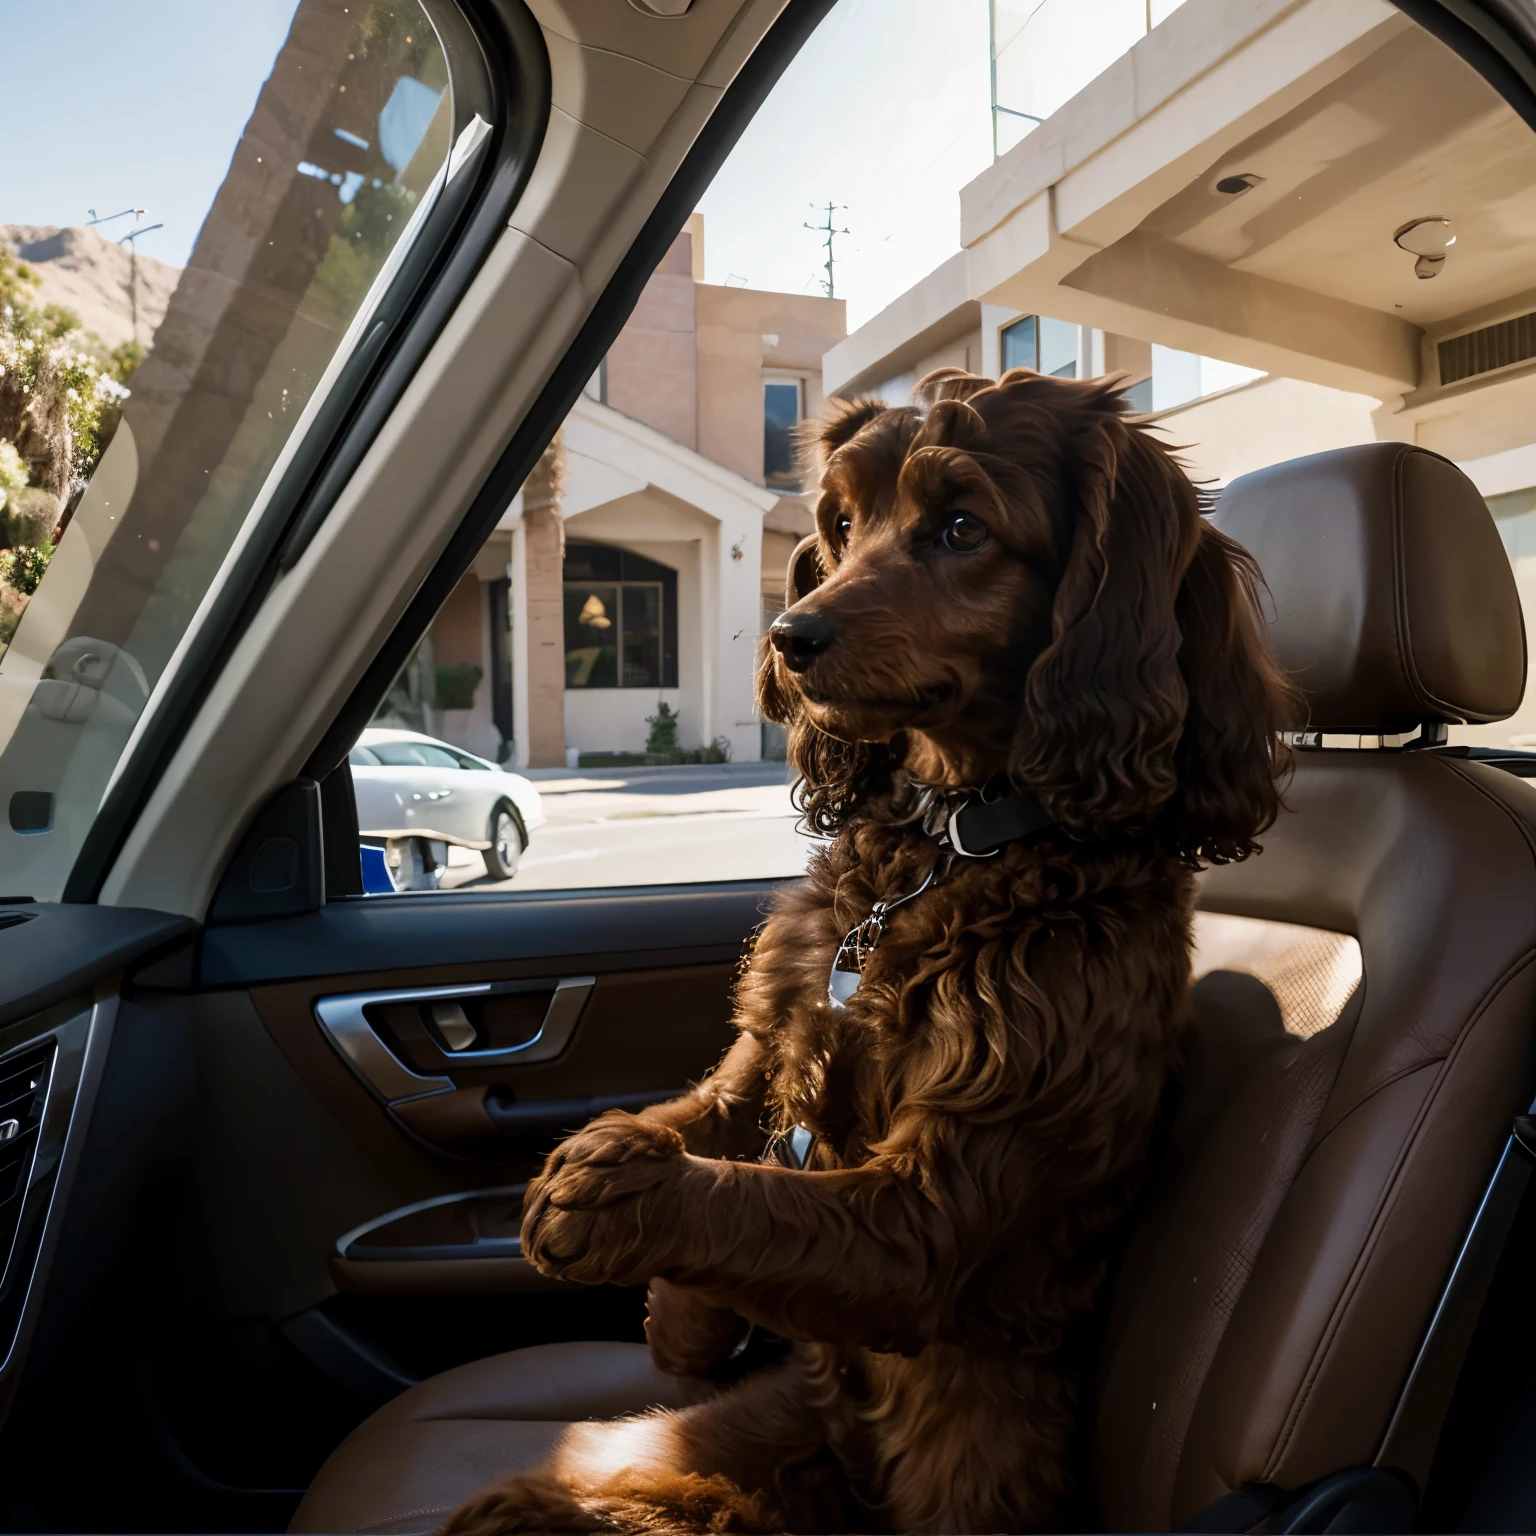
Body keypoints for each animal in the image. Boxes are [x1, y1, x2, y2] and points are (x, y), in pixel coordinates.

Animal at [445, 368, 1296, 1536]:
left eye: (962, 526)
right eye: (842, 525)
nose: (786, 636)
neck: (944, 857)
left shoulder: (926, 1214)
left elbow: (750, 1195)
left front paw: (605, 1193)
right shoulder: (768, 1054)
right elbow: (702, 1117)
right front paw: (673, 1305)